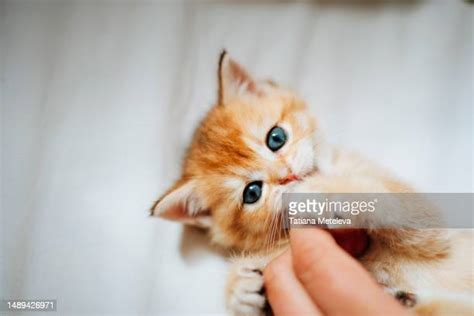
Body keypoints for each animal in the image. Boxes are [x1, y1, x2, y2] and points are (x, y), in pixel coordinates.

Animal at [151, 52, 470, 316]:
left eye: (276, 138)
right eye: (252, 192)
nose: (288, 175)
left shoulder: (430, 225)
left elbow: (392, 202)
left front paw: (319, 192)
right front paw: (238, 287)